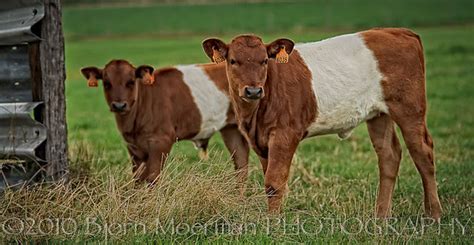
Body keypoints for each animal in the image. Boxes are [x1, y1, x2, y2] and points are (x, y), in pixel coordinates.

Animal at [82, 59, 250, 188]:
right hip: (231, 129)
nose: (119, 105)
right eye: (107, 83)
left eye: (130, 82)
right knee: (241, 164)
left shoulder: (161, 141)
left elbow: (152, 178)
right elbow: (137, 180)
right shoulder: (133, 147)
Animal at [205, 27, 444, 219]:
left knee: (423, 153)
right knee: (389, 156)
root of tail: (400, 31)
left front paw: (272, 224)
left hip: (410, 109)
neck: (253, 116)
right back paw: (381, 216)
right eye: (233, 61)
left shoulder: (285, 134)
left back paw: (433, 214)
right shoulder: (261, 140)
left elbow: (274, 182)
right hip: (378, 115)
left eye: (264, 60)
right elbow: (270, 179)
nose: (253, 90)